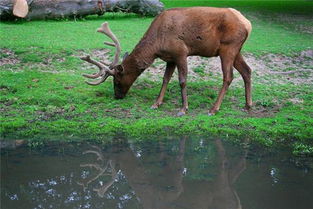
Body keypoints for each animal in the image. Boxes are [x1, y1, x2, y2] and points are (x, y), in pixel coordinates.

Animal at [80, 6, 251, 116]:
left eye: (116, 80)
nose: (117, 96)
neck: (157, 45)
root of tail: (247, 24)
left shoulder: (181, 52)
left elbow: (182, 80)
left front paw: (183, 109)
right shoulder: (171, 58)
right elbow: (165, 79)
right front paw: (156, 104)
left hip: (228, 47)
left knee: (228, 76)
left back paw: (213, 109)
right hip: (236, 50)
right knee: (247, 71)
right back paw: (247, 106)